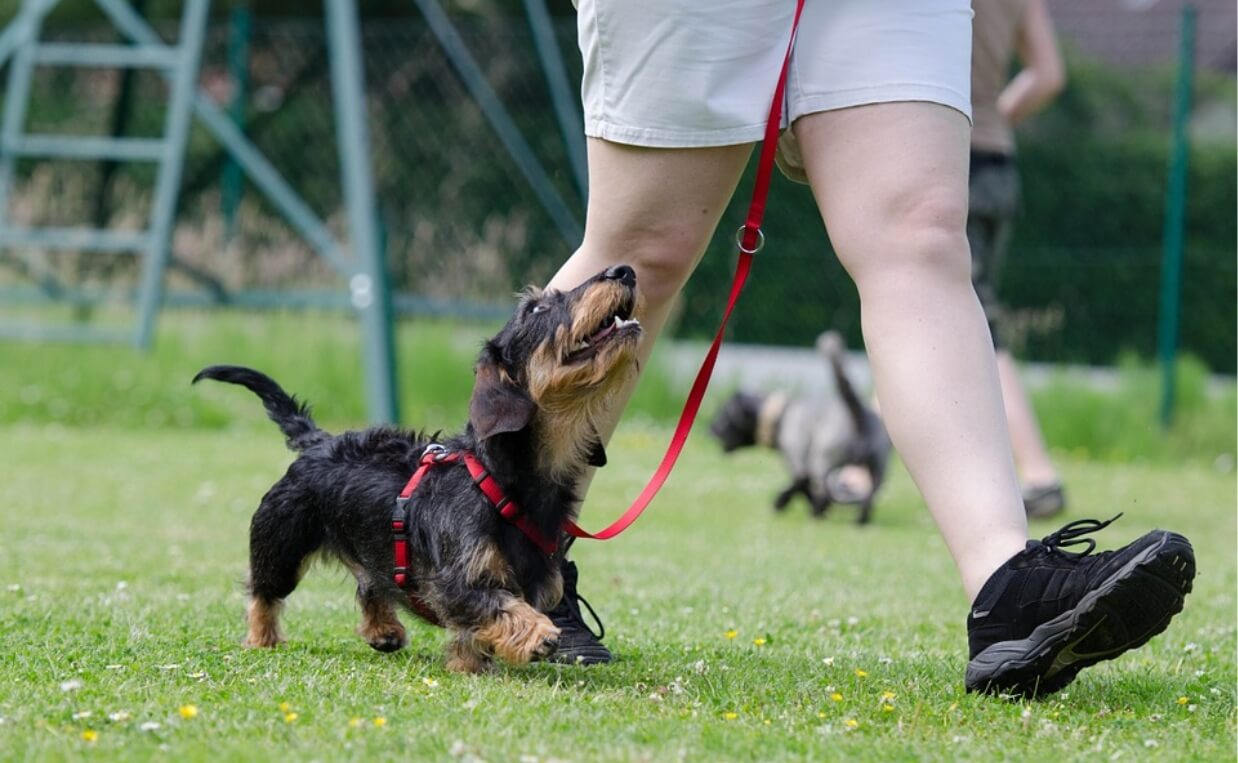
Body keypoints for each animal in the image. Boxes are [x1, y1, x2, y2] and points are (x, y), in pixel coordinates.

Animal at [195, 265, 638, 668]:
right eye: (536, 308)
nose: (623, 271)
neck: (501, 479)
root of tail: (319, 441)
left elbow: (477, 631)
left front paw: (470, 665)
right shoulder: (455, 583)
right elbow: (498, 606)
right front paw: (539, 633)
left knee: (369, 584)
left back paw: (383, 630)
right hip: (280, 544)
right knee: (262, 592)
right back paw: (262, 638)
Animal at [708, 331, 891, 525]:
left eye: (723, 414)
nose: (709, 429)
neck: (780, 415)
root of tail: (858, 413)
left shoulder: (798, 461)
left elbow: (800, 485)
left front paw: (781, 502)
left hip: (823, 461)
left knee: (824, 491)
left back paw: (816, 513)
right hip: (877, 469)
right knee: (868, 498)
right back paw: (859, 521)